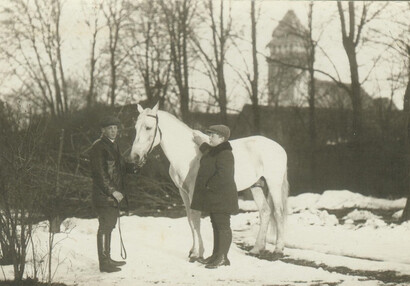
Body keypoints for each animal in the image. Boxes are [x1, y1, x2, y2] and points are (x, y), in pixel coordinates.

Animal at [131, 104, 288, 260]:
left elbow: (195, 218)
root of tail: (279, 147)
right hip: (256, 186)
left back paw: (278, 251)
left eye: (148, 127)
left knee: (278, 213)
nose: (135, 156)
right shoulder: (183, 192)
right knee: (265, 211)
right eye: (135, 127)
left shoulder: (194, 191)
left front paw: (197, 253)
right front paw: (193, 251)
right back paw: (257, 249)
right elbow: (190, 219)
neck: (187, 153)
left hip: (274, 184)